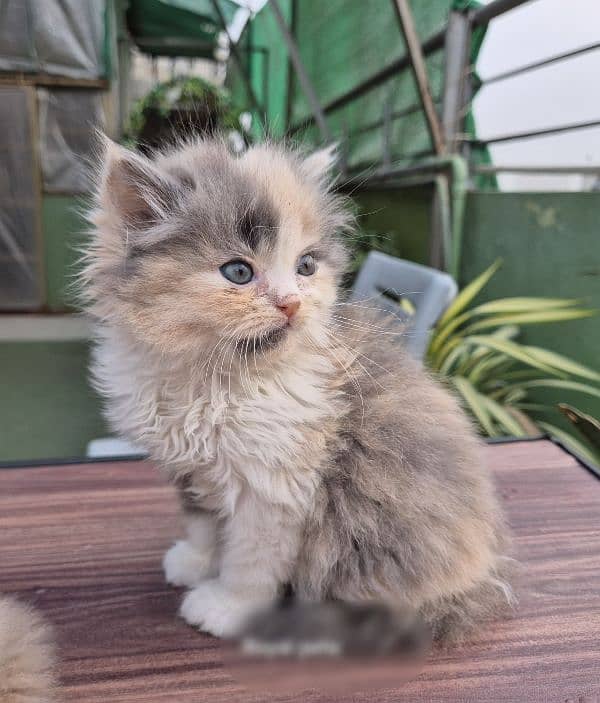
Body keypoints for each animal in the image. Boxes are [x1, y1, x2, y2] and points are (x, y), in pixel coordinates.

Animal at [82, 135, 512, 648]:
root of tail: (482, 575)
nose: (292, 303)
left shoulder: (275, 484)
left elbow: (250, 558)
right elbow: (205, 525)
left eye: (305, 266)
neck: (215, 380)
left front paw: (226, 607)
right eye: (238, 273)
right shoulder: (194, 470)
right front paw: (195, 562)